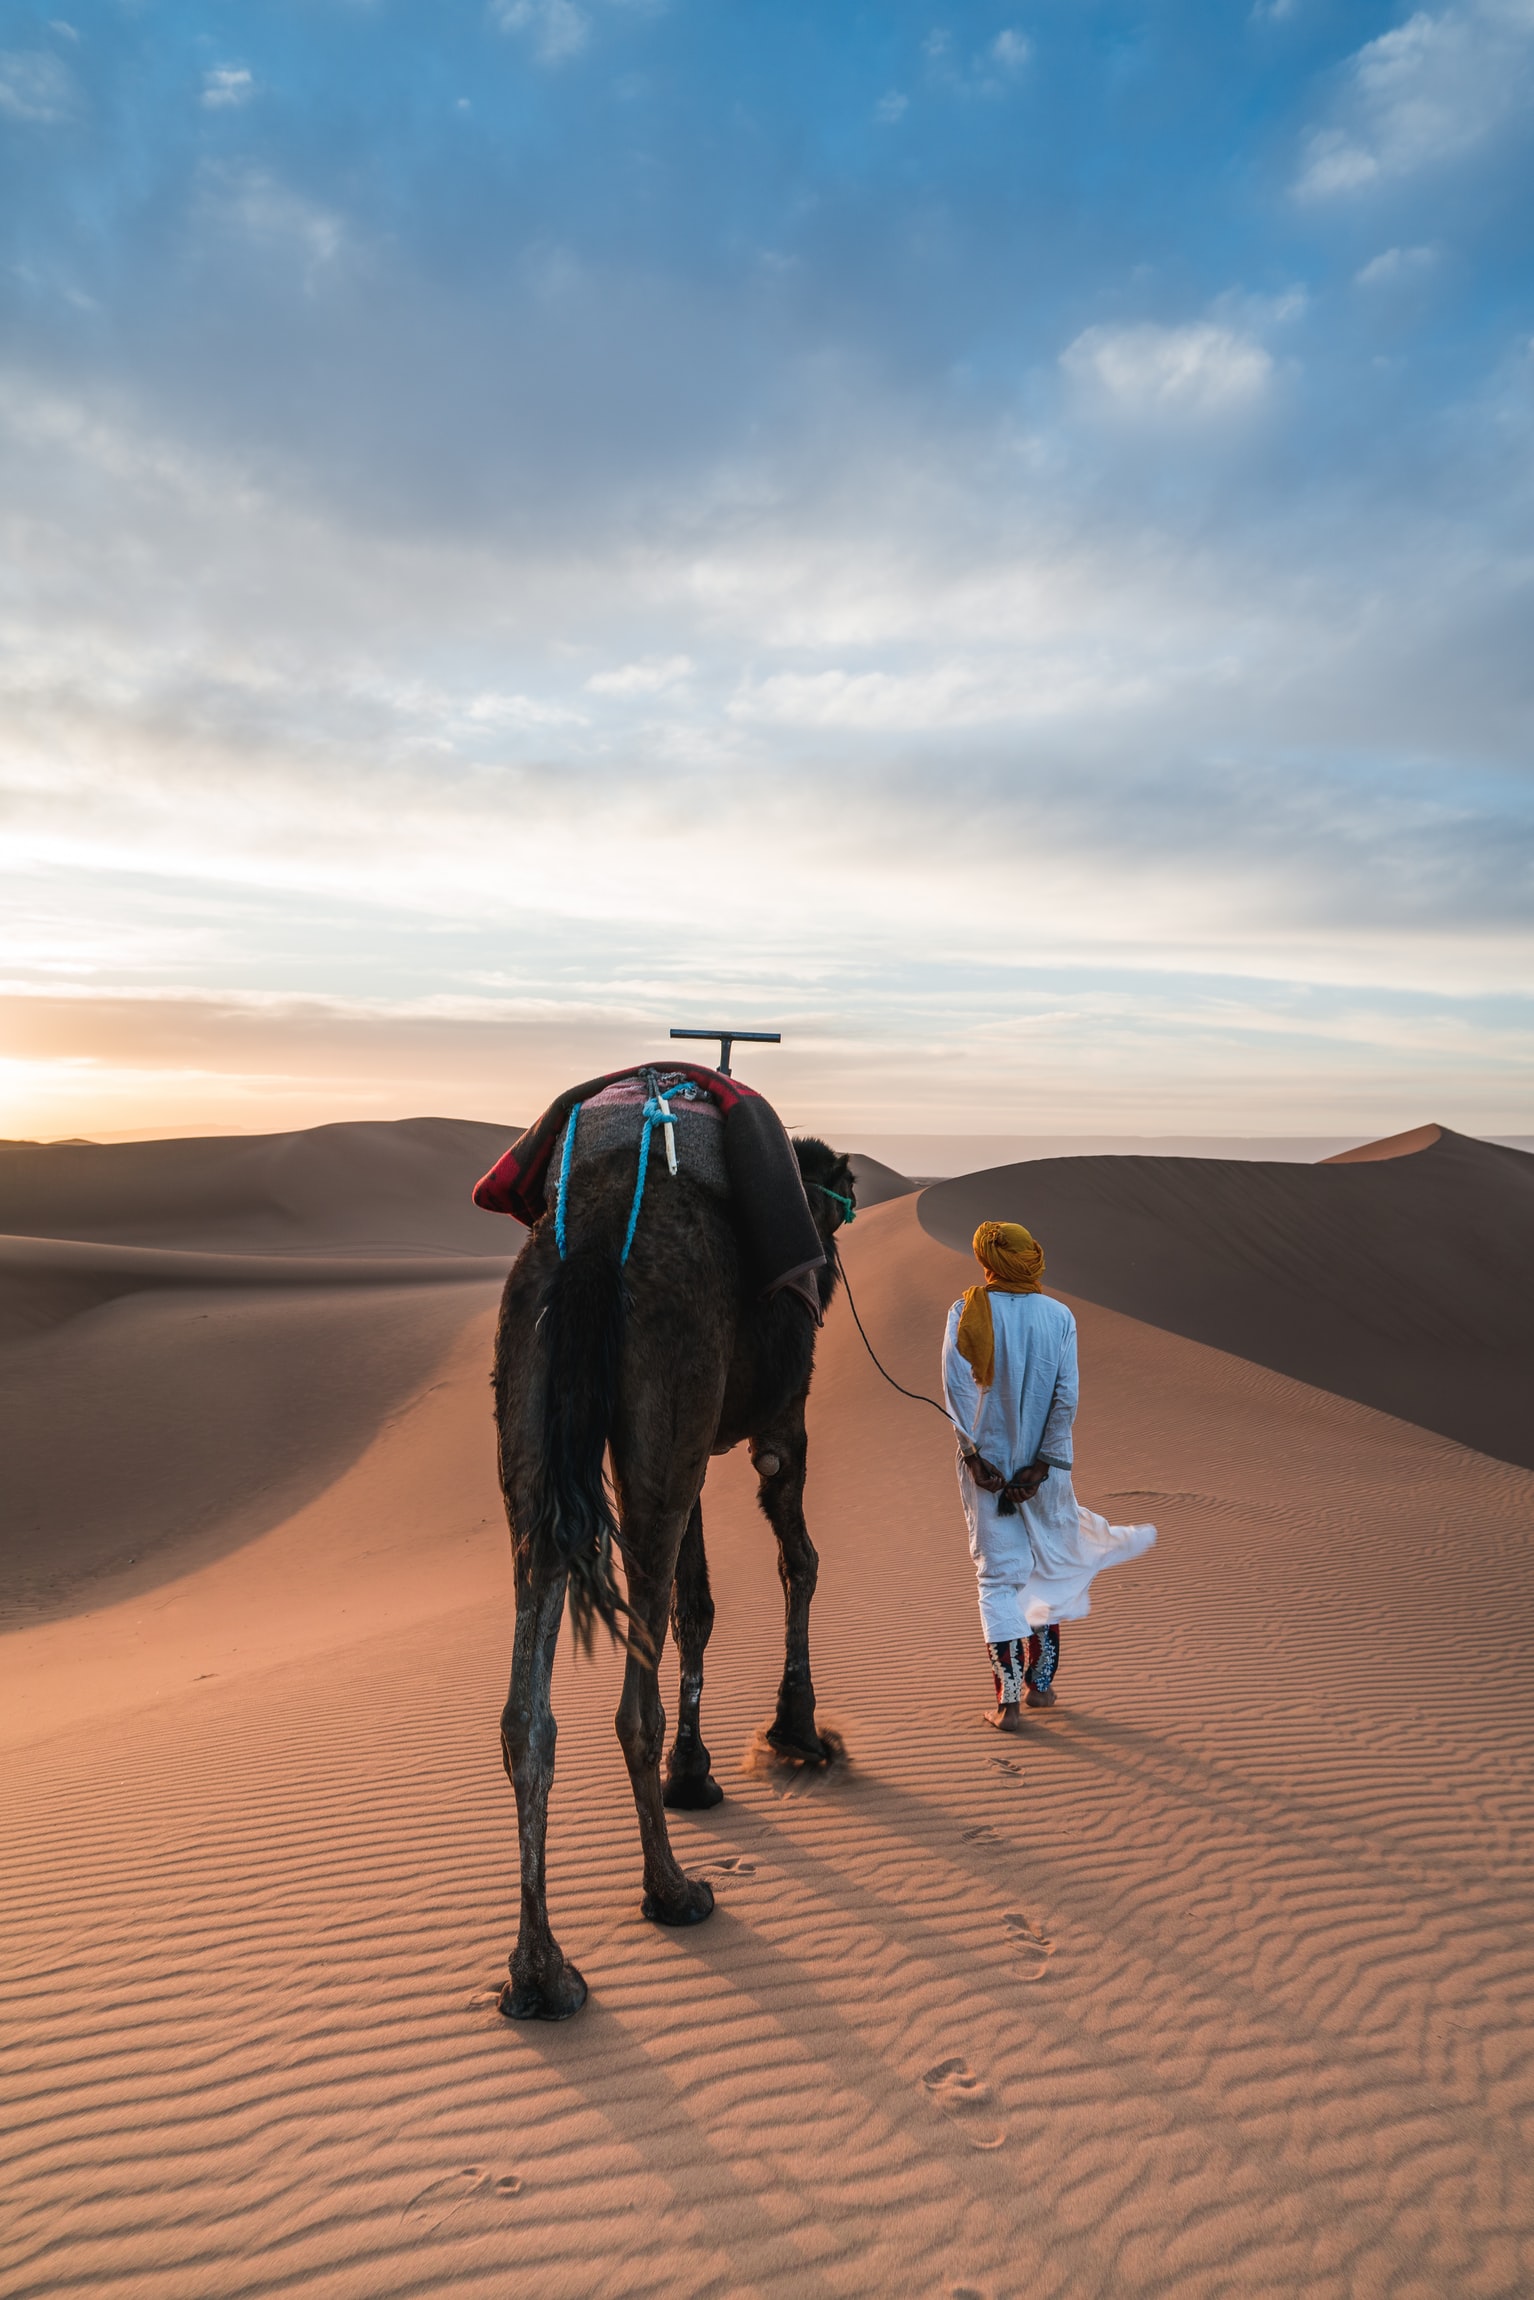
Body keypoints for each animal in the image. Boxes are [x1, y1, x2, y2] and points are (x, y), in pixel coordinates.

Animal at [492, 1122, 850, 2024]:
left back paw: (540, 1973)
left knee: (527, 1714)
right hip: (669, 1399)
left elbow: (700, 1604)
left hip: (533, 1414)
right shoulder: (780, 1424)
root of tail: (590, 1244)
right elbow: (800, 1562)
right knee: (632, 1704)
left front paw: (697, 1772)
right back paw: (673, 1891)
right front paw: (796, 1729)